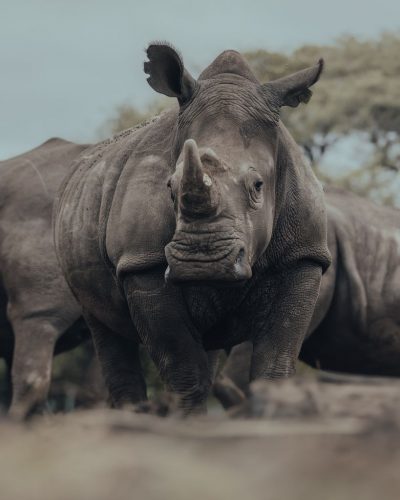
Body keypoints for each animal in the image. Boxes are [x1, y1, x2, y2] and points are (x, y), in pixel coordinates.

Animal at [54, 42, 332, 414]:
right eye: (170, 188)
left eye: (258, 186)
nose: (203, 261)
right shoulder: (142, 261)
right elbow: (184, 371)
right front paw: (189, 421)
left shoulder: (303, 255)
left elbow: (275, 367)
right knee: (105, 329)